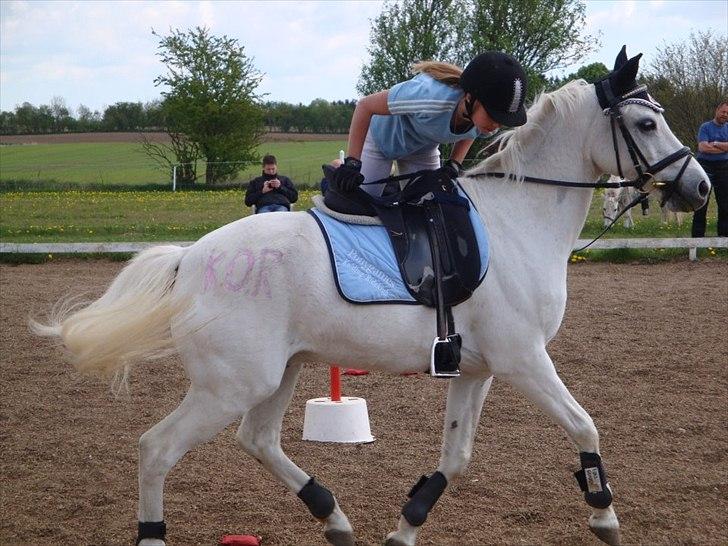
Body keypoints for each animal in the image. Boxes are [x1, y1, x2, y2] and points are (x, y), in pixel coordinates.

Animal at [33, 48, 709, 546]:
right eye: (646, 123)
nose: (700, 188)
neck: (521, 219)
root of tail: (192, 258)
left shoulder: (478, 369)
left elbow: (456, 456)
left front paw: (405, 527)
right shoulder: (524, 360)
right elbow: (583, 424)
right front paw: (603, 513)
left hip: (277, 372)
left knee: (258, 440)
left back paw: (333, 516)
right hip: (231, 383)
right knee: (156, 449)